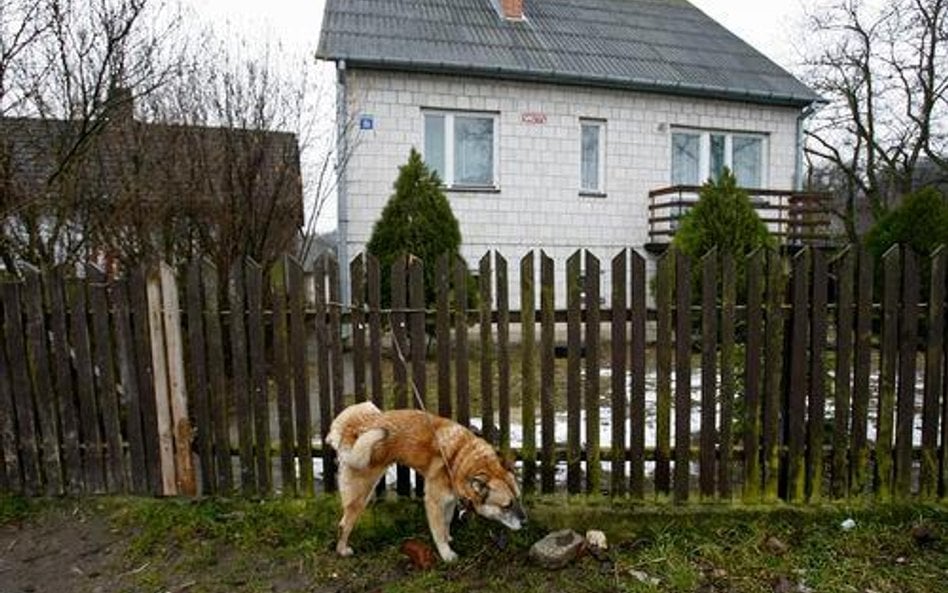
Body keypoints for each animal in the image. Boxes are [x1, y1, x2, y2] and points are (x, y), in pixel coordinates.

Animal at [326, 400, 524, 560]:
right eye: (506, 506)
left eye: (518, 499)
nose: (525, 522)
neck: (458, 458)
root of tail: (354, 430)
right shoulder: (434, 502)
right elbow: (438, 531)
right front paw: (446, 554)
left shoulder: (449, 500)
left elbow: (445, 523)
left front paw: (448, 537)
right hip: (360, 495)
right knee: (344, 524)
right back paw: (342, 550)